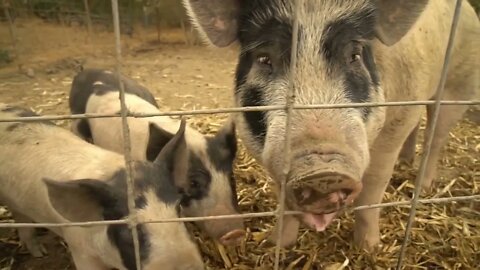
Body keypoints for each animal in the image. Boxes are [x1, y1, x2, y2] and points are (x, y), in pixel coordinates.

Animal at [182, 0, 478, 249]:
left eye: (355, 55)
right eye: (264, 58)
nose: (322, 173)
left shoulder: (397, 122)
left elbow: (373, 190)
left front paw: (369, 250)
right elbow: (284, 203)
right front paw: (276, 245)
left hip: (458, 87)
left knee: (436, 136)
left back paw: (423, 185)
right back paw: (406, 162)